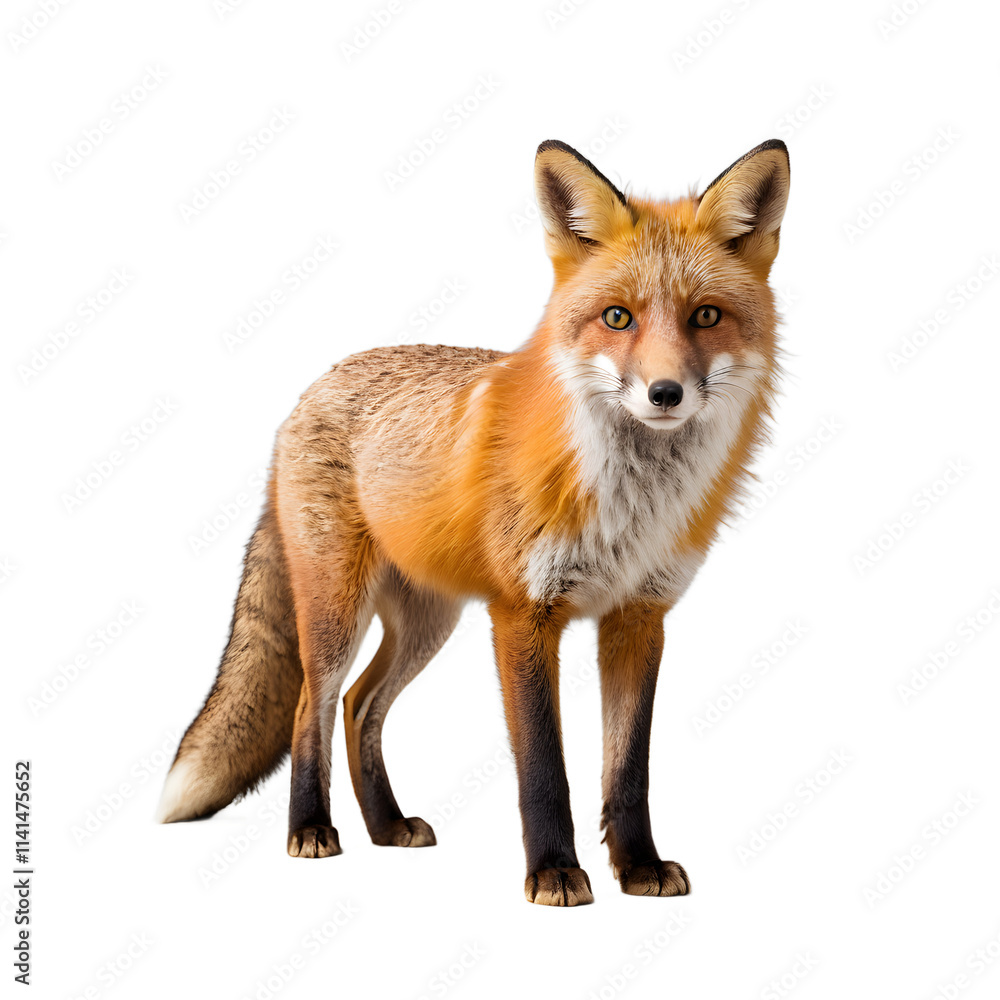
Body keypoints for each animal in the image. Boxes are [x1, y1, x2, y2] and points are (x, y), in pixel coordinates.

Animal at [158, 137, 790, 906]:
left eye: (706, 317)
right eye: (618, 318)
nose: (664, 393)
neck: (629, 500)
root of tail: (313, 387)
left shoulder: (638, 616)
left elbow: (628, 767)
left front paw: (638, 866)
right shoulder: (523, 614)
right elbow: (545, 768)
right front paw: (554, 872)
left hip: (428, 621)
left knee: (361, 706)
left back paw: (387, 826)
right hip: (338, 610)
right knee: (315, 704)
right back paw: (311, 829)